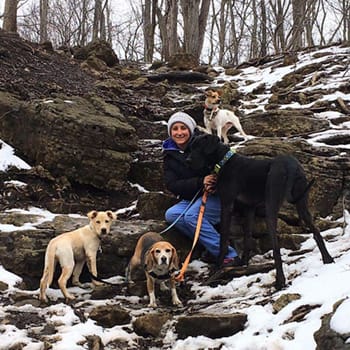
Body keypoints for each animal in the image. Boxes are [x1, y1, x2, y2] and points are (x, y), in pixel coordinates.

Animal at [189, 134, 334, 290]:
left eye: (199, 147)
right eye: (191, 147)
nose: (187, 160)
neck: (224, 161)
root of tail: (291, 165)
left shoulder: (227, 205)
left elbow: (223, 240)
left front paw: (217, 268)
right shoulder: (249, 208)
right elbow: (247, 237)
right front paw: (243, 262)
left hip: (271, 206)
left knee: (276, 248)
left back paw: (280, 281)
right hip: (302, 204)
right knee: (316, 231)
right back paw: (328, 259)